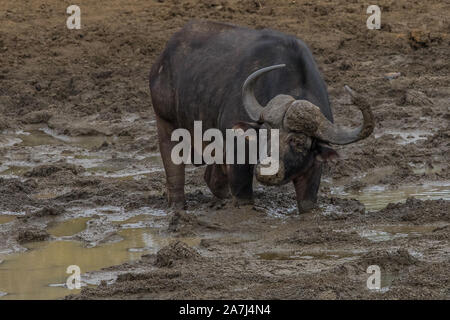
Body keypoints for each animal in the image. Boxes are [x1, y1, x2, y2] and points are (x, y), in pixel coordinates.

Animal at [149, 21, 374, 214]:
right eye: (265, 135)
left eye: (298, 141)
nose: (267, 171)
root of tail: (163, 59)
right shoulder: (237, 157)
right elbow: (243, 197)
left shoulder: (313, 168)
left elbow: (307, 203)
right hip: (165, 121)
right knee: (174, 169)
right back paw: (178, 207)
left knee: (212, 178)